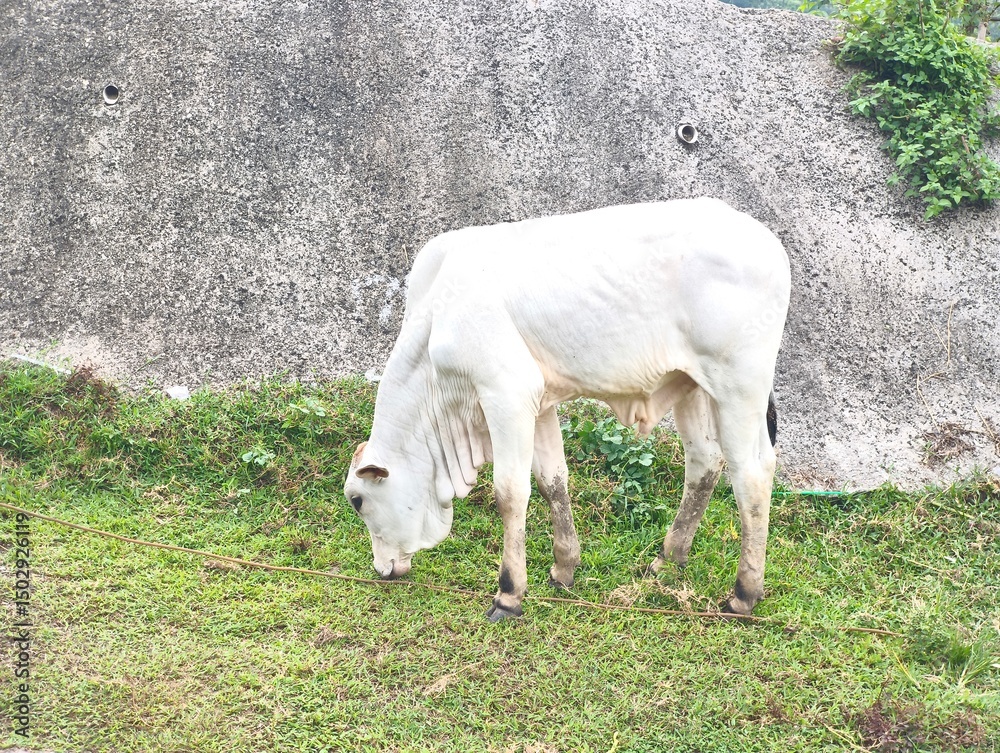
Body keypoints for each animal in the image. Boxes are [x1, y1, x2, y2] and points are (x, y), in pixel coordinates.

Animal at [344, 198, 791, 621]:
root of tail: (769, 242)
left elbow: (510, 493)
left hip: (738, 386)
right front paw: (564, 570)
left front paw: (509, 594)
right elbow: (552, 482)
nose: (381, 569)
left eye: (357, 501)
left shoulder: (505, 393)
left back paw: (743, 594)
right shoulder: (538, 403)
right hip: (694, 386)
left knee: (752, 474)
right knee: (705, 462)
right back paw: (668, 559)